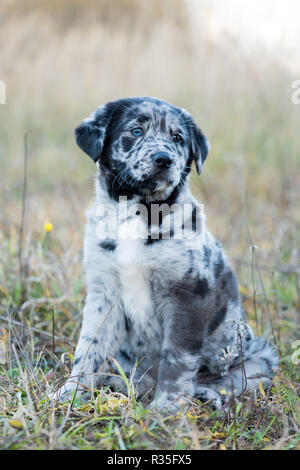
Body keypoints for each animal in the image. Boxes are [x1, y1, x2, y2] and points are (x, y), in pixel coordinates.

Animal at [52, 96, 280, 412]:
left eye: (177, 138)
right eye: (136, 130)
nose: (164, 159)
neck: (137, 212)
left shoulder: (188, 294)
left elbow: (177, 359)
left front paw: (165, 410)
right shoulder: (103, 293)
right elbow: (88, 349)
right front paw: (70, 394)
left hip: (260, 358)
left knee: (230, 383)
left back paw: (205, 395)